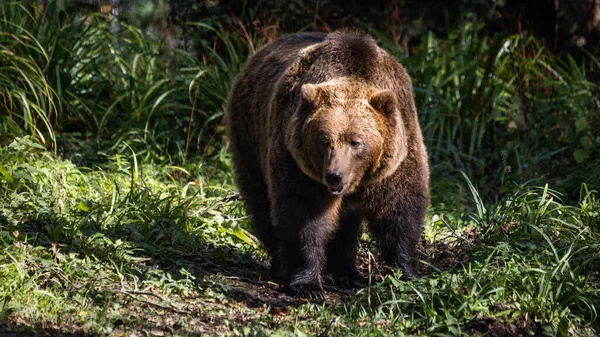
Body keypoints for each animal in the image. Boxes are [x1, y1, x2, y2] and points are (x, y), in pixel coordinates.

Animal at [227, 29, 428, 300]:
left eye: (356, 142)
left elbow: (399, 215)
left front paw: (407, 274)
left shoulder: (396, 162)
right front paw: (307, 285)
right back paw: (281, 262)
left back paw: (347, 273)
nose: (334, 175)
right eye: (323, 140)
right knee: (261, 199)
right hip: (250, 134)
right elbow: (304, 216)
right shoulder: (298, 163)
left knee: (345, 224)